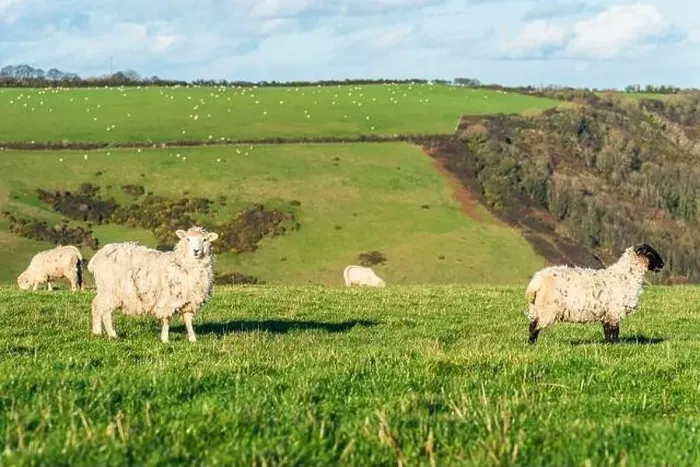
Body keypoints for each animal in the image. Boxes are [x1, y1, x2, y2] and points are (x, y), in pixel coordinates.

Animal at [87, 226, 219, 343]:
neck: (183, 265)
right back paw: (112, 334)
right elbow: (166, 320)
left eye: (205, 239)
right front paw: (165, 339)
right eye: (188, 239)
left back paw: (97, 332)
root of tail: (97, 257)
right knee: (105, 312)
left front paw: (193, 339)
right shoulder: (167, 300)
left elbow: (188, 321)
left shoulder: (188, 301)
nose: (196, 251)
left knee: (97, 306)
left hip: (105, 290)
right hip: (110, 290)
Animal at [525, 243, 664, 344]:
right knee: (535, 326)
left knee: (532, 324)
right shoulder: (614, 311)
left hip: (536, 308)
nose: (662, 264)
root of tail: (536, 281)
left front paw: (608, 344)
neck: (627, 276)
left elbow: (607, 331)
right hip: (547, 309)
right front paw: (616, 344)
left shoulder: (606, 313)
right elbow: (614, 330)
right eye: (650, 252)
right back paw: (532, 344)